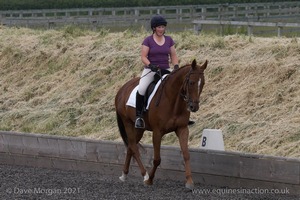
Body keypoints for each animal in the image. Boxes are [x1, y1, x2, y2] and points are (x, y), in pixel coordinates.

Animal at [114, 59, 206, 189]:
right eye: (191, 82)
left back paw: (124, 174)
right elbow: (157, 159)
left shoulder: (182, 129)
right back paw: (145, 175)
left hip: (139, 129)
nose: (194, 107)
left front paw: (189, 182)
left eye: (202, 83)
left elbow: (186, 155)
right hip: (128, 123)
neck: (172, 100)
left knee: (131, 146)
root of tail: (122, 89)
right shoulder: (157, 132)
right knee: (134, 147)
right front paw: (150, 180)